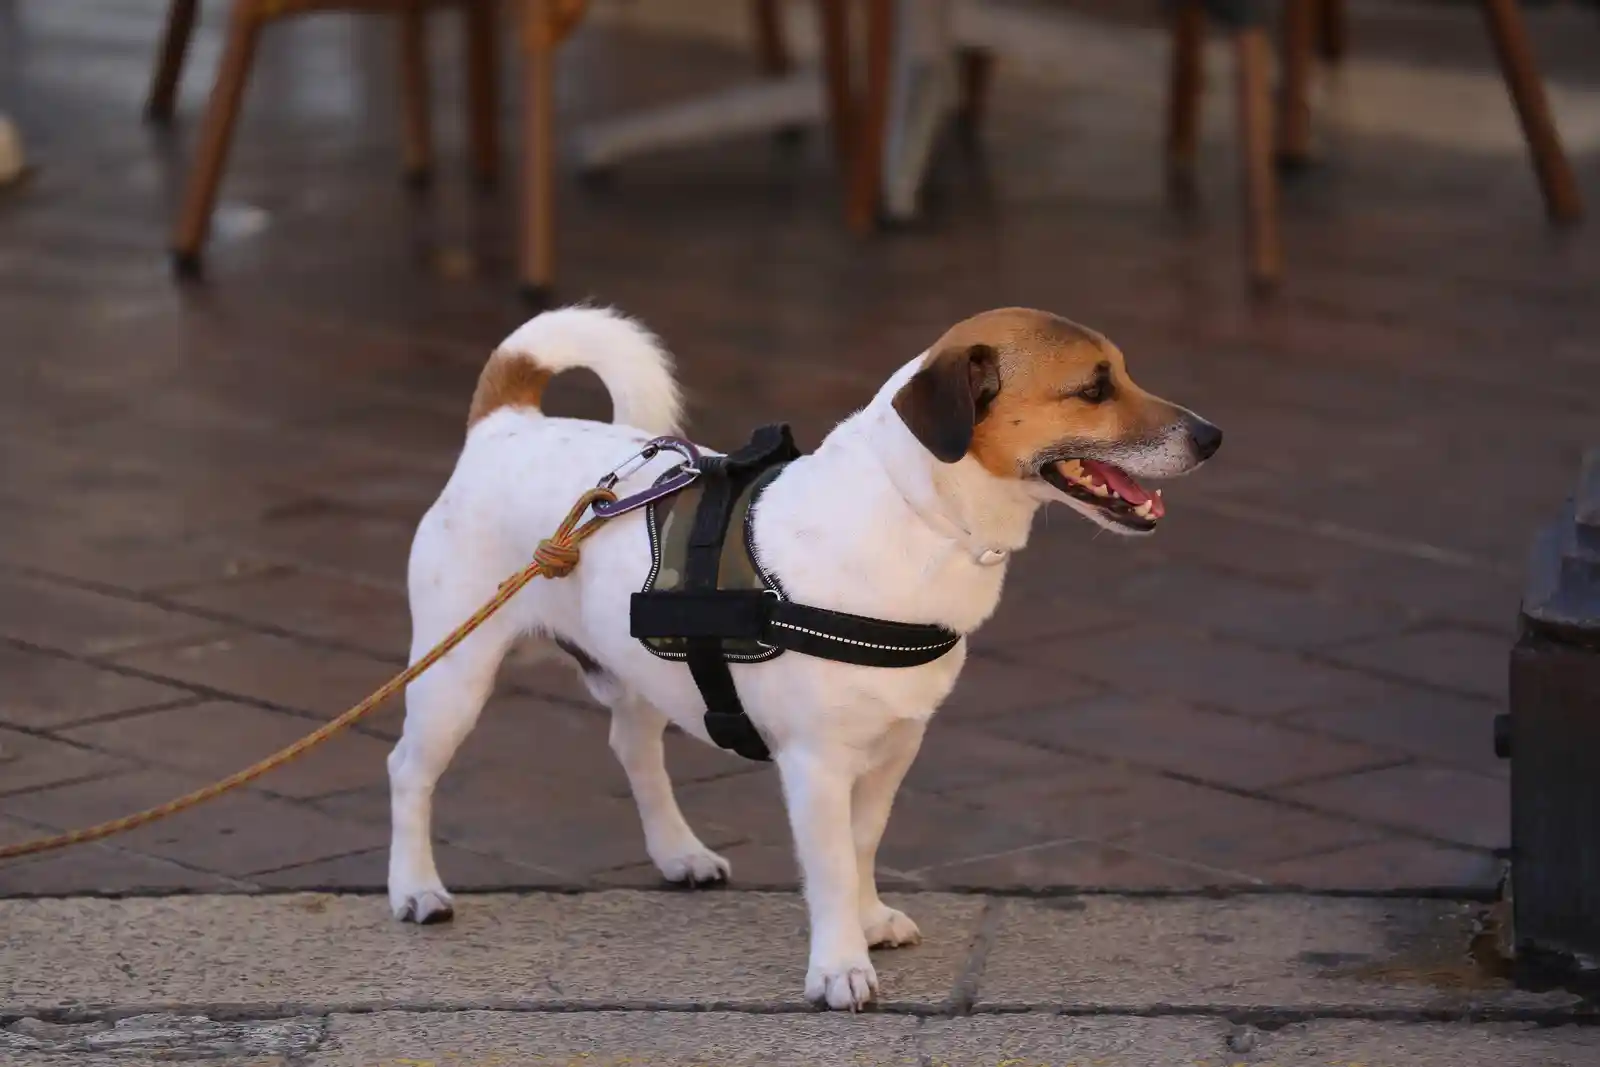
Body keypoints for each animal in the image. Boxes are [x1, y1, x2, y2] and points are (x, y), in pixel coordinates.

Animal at [387, 302, 1222, 1011]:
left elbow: (861, 844)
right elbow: (827, 864)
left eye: (1122, 371)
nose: (1212, 436)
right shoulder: (816, 763)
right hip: (454, 674)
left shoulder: (894, 749)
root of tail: (506, 424)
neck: (918, 517)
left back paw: (679, 852)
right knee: (408, 770)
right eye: (1093, 387)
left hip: (638, 666)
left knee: (633, 746)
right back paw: (415, 888)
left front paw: (867, 918)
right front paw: (840, 966)